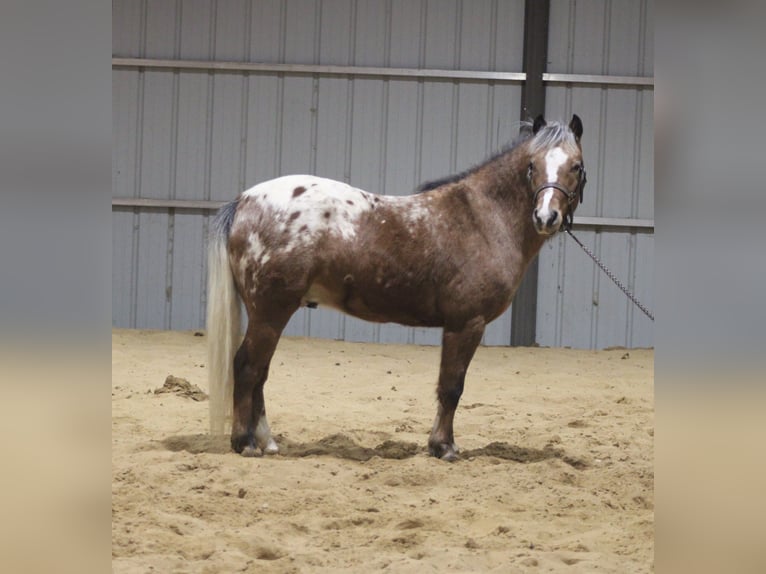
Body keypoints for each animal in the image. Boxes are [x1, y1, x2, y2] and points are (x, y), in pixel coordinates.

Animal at [206, 115, 588, 462]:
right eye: (532, 165)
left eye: (576, 166)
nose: (546, 217)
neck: (481, 219)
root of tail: (245, 200)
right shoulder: (466, 324)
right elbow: (452, 387)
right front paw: (444, 447)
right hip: (271, 311)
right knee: (247, 367)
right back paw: (245, 442)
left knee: (260, 373)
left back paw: (267, 441)